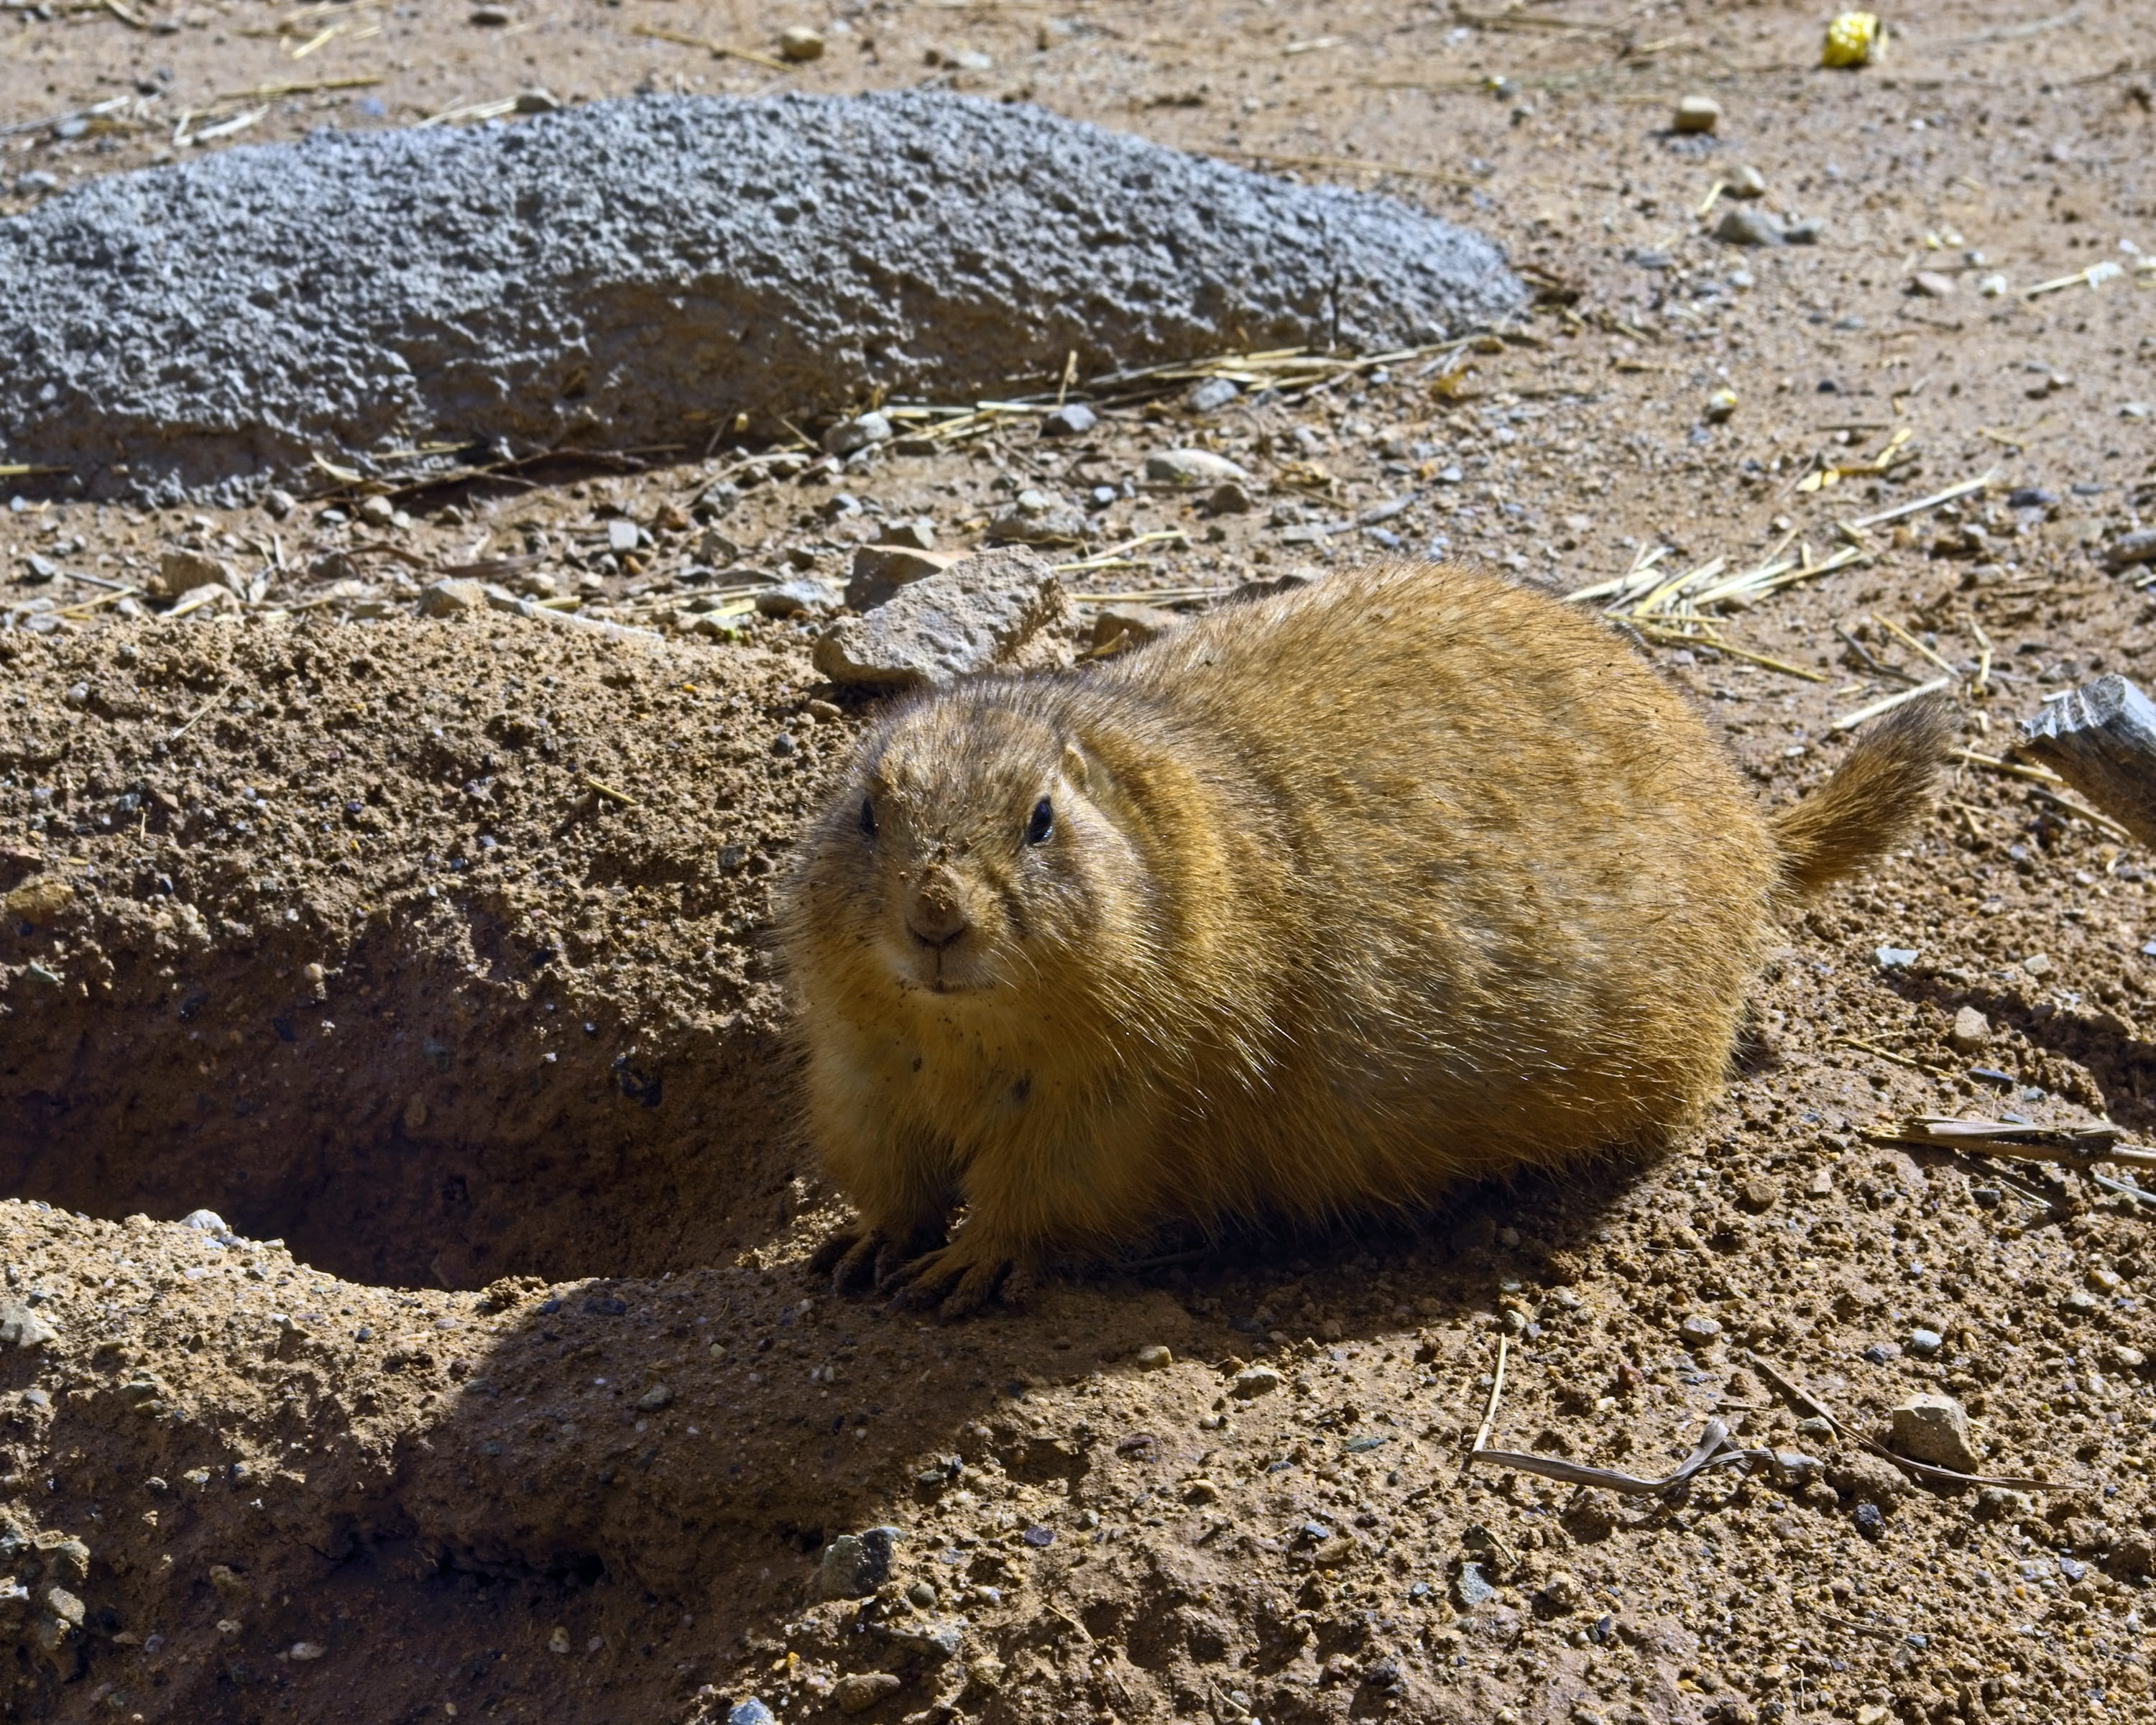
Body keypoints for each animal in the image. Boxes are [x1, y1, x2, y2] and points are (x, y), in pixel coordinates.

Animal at [780, 559, 1953, 1315]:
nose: (936, 919)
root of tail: (1755, 823)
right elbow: (882, 1160)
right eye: (868, 812)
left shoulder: (1123, 1086)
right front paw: (862, 1244)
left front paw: (967, 1267)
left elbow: (1053, 1186)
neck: (964, 1039)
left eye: (1040, 820)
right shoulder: (857, 1060)